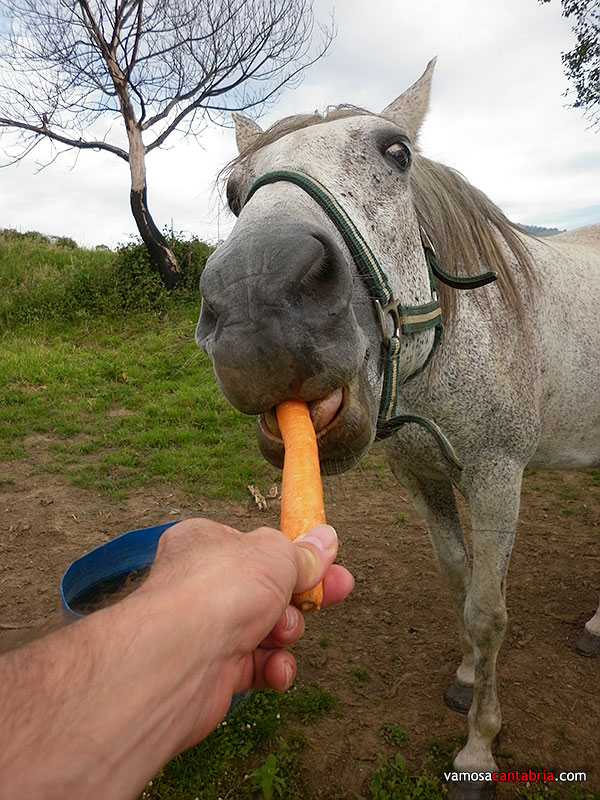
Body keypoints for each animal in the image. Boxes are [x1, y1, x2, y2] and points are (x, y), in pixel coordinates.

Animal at [196, 59, 600, 797]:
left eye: (397, 153)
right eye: (238, 193)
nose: (255, 297)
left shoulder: (497, 479)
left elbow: (489, 612)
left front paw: (479, 747)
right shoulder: (420, 475)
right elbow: (458, 579)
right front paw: (466, 679)